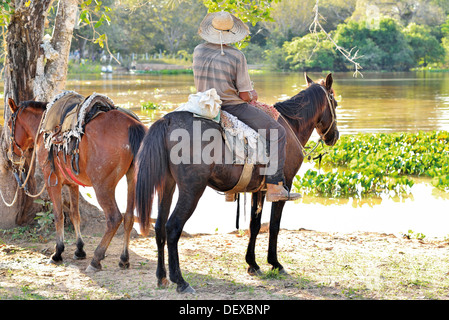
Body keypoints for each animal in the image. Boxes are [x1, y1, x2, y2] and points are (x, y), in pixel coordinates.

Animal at [7, 97, 146, 270]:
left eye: (9, 125)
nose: (10, 155)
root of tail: (132, 126)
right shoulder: (73, 184)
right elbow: (75, 214)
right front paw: (79, 249)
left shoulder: (52, 181)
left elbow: (58, 215)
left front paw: (58, 252)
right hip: (132, 179)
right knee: (129, 217)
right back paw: (124, 259)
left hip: (103, 187)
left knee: (114, 218)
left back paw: (96, 259)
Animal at [136, 72, 340, 292]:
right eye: (335, 103)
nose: (335, 136)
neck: (290, 124)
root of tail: (168, 120)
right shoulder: (284, 186)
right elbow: (274, 226)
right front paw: (275, 263)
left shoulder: (258, 190)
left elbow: (255, 225)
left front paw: (253, 264)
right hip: (192, 189)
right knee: (173, 227)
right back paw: (180, 281)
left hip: (167, 185)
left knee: (159, 227)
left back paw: (162, 277)